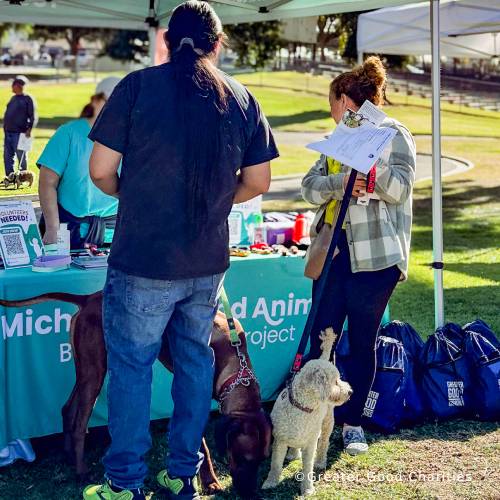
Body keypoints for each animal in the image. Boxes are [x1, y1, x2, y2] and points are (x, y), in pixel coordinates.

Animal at [0, 292, 272, 496]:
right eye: (243, 458)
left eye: (261, 461)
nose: (252, 495)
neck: (235, 363)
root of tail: (88, 299)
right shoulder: (194, 391)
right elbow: (202, 445)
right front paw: (210, 481)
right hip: (96, 371)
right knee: (79, 423)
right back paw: (80, 471)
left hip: (85, 369)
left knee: (67, 409)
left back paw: (68, 457)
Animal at [262, 328, 352, 496]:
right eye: (336, 381)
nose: (350, 392)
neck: (302, 408)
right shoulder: (279, 440)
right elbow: (275, 464)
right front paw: (270, 482)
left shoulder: (311, 444)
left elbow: (307, 467)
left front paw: (308, 489)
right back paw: (292, 453)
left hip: (327, 422)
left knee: (324, 443)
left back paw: (320, 461)